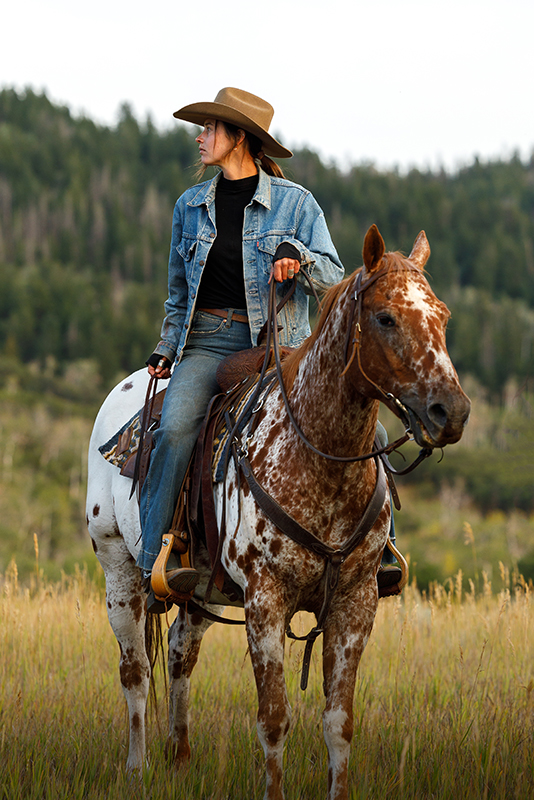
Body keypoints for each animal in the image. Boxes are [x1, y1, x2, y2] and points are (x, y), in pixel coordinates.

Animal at [86, 225, 472, 800]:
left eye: (442, 315)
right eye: (385, 318)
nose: (452, 411)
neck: (319, 459)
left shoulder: (356, 603)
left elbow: (338, 722)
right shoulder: (266, 601)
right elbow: (273, 719)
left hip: (202, 586)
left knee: (179, 653)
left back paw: (180, 758)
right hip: (119, 568)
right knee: (135, 670)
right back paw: (138, 767)